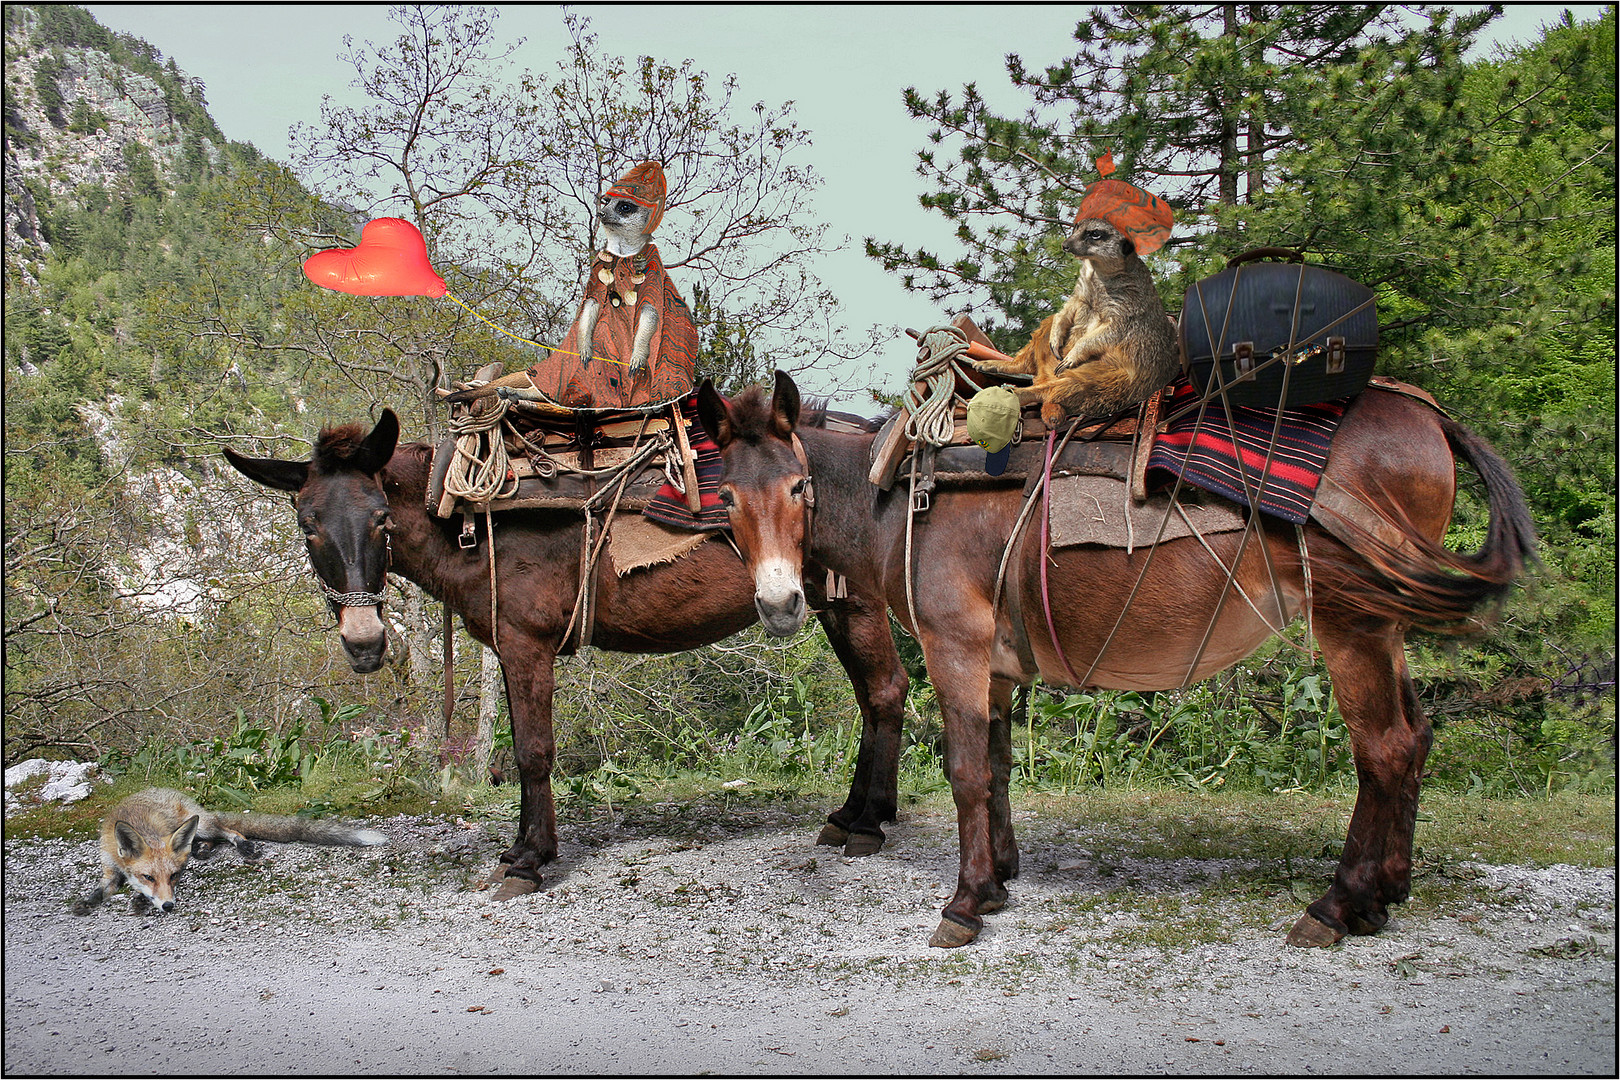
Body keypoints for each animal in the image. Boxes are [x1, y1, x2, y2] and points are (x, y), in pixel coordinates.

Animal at [72, 790, 388, 919]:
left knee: (225, 830)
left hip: (201, 823)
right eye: (148, 876)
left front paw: (140, 900)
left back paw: (240, 845)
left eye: (174, 876)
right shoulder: (109, 866)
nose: (169, 906)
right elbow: (103, 888)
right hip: (195, 829)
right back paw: (201, 850)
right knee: (208, 840)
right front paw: (88, 902)